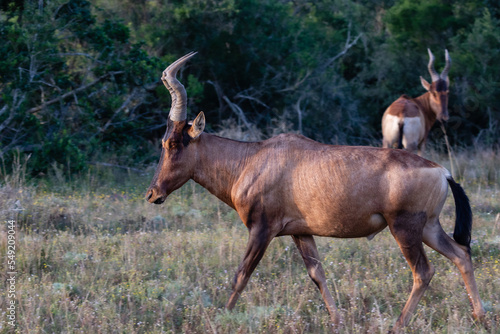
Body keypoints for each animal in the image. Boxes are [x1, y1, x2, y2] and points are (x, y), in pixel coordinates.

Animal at [147, 52, 484, 332]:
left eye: (174, 143)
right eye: (163, 141)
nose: (153, 194)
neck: (252, 158)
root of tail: (442, 171)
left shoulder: (262, 229)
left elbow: (241, 275)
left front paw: (221, 319)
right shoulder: (301, 232)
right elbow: (317, 276)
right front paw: (337, 321)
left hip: (405, 228)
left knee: (423, 272)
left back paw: (398, 325)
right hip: (428, 227)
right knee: (461, 254)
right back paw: (480, 316)